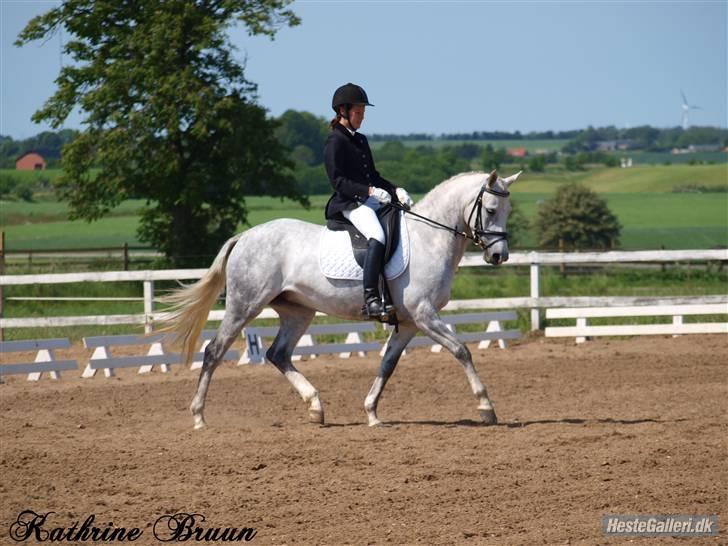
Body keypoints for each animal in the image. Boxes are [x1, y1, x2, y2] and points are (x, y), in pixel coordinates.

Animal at [162, 168, 520, 428]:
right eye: (490, 210)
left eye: (508, 210)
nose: (499, 256)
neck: (429, 238)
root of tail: (245, 236)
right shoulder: (424, 314)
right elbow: (461, 351)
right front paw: (486, 408)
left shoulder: (408, 322)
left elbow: (388, 364)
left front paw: (372, 413)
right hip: (244, 304)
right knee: (215, 351)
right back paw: (199, 417)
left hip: (298, 311)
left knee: (278, 354)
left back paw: (316, 408)